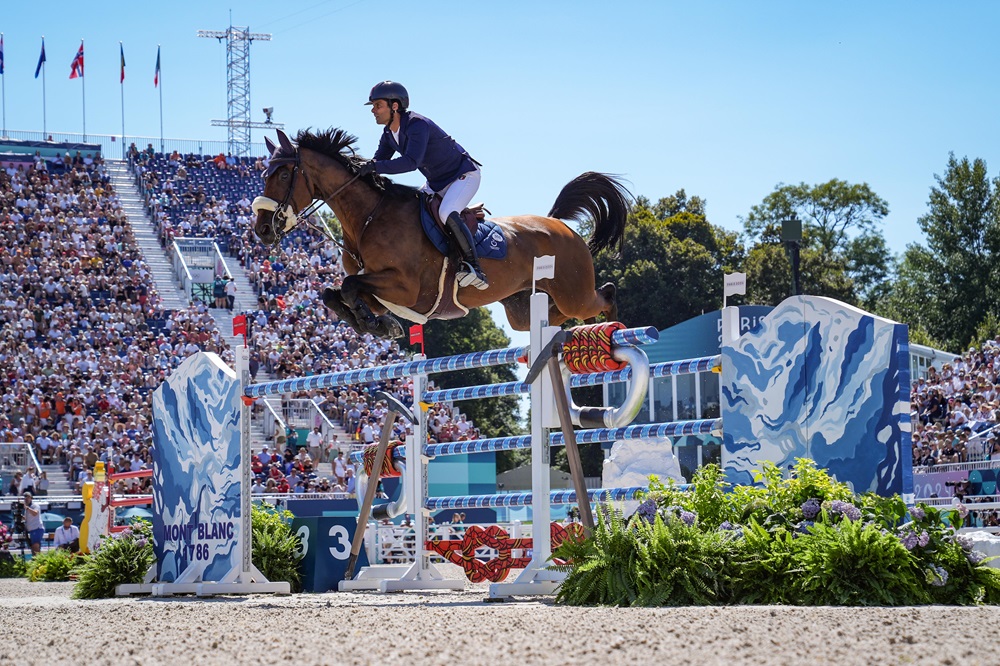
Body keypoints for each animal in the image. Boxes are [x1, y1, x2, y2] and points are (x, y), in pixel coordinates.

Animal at [256, 127, 632, 340]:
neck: (368, 218)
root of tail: (560, 226)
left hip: (573, 292)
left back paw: (616, 332)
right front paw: (376, 325)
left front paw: (377, 326)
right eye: (264, 174)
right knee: (553, 318)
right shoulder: (380, 294)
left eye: (284, 175)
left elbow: (347, 286)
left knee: (605, 295)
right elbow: (333, 294)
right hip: (523, 309)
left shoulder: (405, 288)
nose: (261, 229)